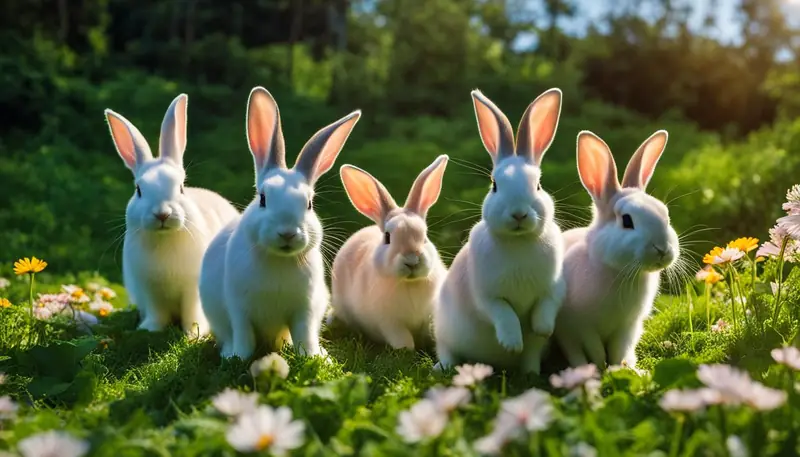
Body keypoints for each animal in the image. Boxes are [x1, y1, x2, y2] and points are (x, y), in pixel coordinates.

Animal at [105, 94, 239, 336]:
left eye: (181, 188)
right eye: (139, 190)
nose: (162, 214)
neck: (164, 239)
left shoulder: (192, 290)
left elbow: (191, 313)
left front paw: (193, 334)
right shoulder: (150, 290)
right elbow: (157, 314)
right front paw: (149, 329)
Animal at [199, 87, 361, 360]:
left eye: (309, 204)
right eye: (263, 198)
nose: (287, 233)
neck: (279, 260)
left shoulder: (304, 310)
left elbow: (304, 336)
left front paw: (315, 357)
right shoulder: (238, 308)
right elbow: (243, 336)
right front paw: (237, 357)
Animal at [329, 154, 450, 350]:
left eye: (425, 236)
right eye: (387, 237)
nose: (412, 259)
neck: (409, 284)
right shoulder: (389, 323)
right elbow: (403, 341)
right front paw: (406, 350)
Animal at [433, 88, 567, 375]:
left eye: (538, 186)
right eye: (494, 185)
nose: (518, 214)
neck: (519, 242)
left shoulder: (554, 287)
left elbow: (547, 305)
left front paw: (542, 328)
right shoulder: (486, 296)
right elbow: (503, 312)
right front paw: (511, 342)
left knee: (531, 356)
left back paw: (531, 373)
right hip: (444, 330)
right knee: (446, 351)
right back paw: (442, 367)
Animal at [552, 130, 679, 369]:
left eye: (665, 213)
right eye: (627, 221)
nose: (662, 249)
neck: (618, 271)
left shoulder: (628, 326)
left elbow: (619, 351)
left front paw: (623, 369)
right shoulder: (581, 326)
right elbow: (595, 349)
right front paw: (601, 368)